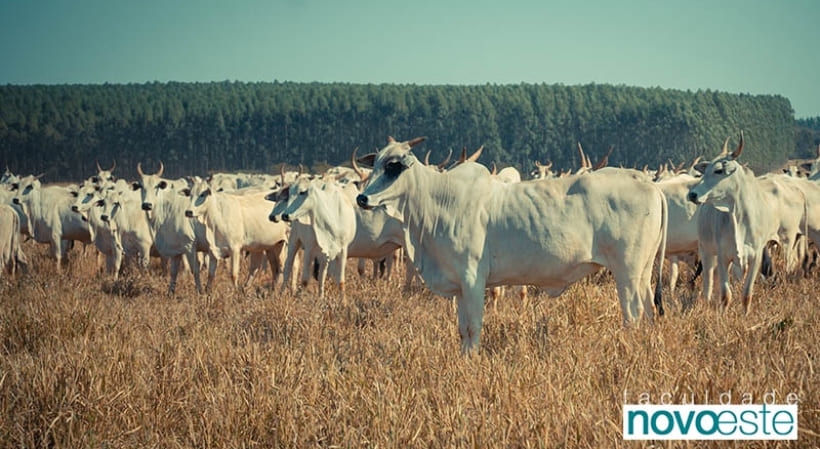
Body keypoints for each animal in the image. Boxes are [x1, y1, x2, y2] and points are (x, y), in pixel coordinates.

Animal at [358, 135, 668, 352]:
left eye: (393, 166)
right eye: (375, 164)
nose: (362, 198)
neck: (439, 201)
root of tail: (646, 181)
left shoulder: (473, 279)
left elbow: (473, 328)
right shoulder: (459, 285)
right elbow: (462, 330)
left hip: (627, 272)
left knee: (633, 315)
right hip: (642, 272)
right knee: (649, 310)